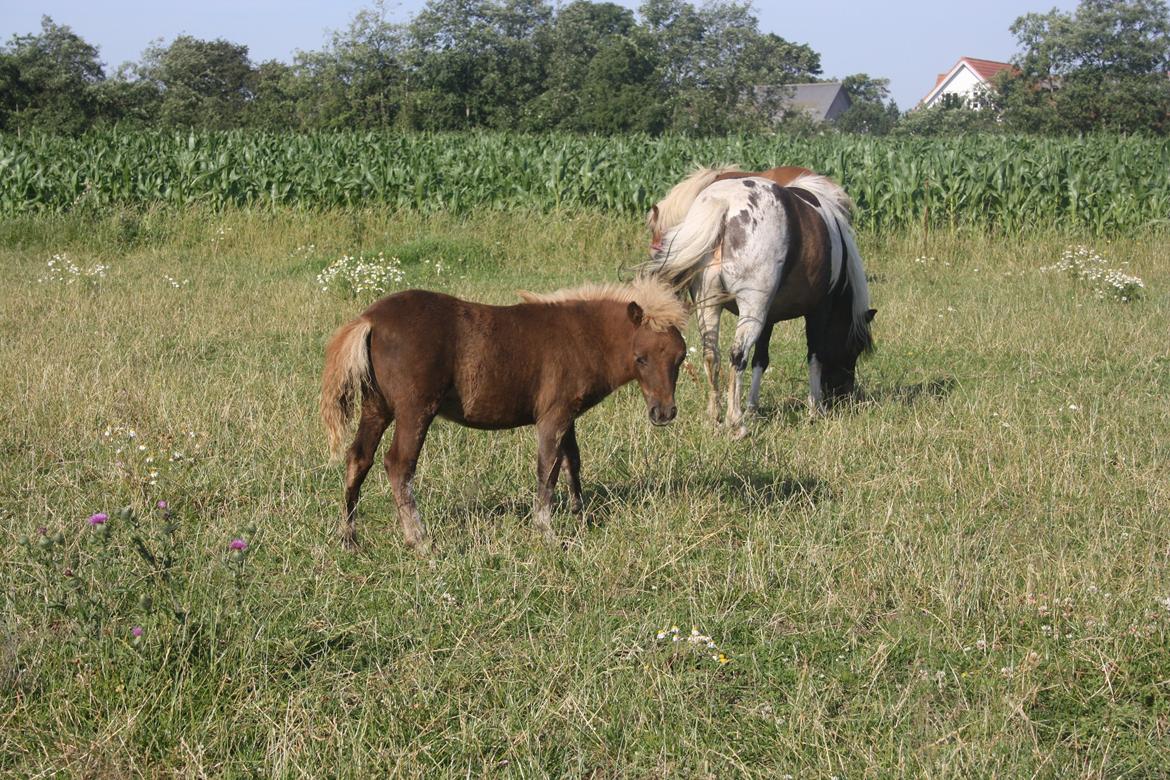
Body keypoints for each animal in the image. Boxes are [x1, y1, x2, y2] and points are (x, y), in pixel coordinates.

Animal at [320, 277, 683, 551]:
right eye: (640, 358)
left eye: (680, 357)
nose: (663, 413)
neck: (582, 336)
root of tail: (369, 319)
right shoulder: (553, 415)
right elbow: (548, 470)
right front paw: (547, 533)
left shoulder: (568, 414)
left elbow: (572, 463)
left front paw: (580, 517)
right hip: (415, 409)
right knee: (398, 465)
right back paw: (419, 540)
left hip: (376, 406)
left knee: (359, 458)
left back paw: (349, 538)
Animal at [641, 173, 879, 437]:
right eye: (855, 348)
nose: (843, 395)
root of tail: (725, 204)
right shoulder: (818, 310)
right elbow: (814, 355)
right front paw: (815, 408)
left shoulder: (769, 316)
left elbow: (760, 360)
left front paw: (753, 408)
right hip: (751, 308)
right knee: (737, 355)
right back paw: (735, 421)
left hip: (710, 305)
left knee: (712, 355)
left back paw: (714, 417)